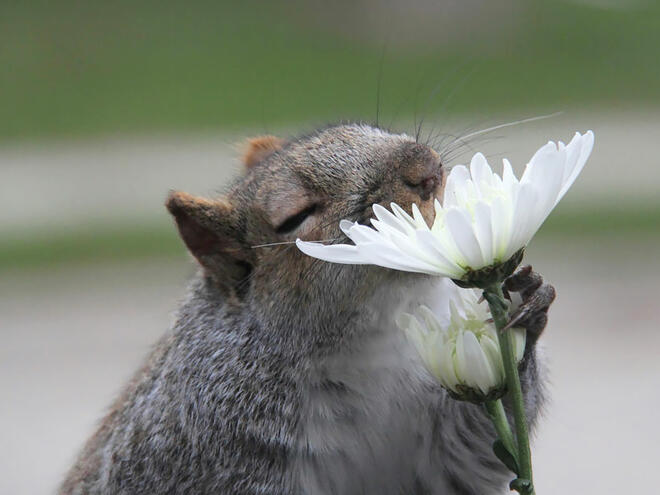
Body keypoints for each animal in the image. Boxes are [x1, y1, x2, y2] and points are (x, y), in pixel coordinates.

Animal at [60, 123, 556, 492]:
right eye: (295, 216)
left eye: (368, 128)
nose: (425, 166)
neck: (369, 342)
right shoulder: (211, 448)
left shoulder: (437, 446)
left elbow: (475, 448)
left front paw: (525, 302)